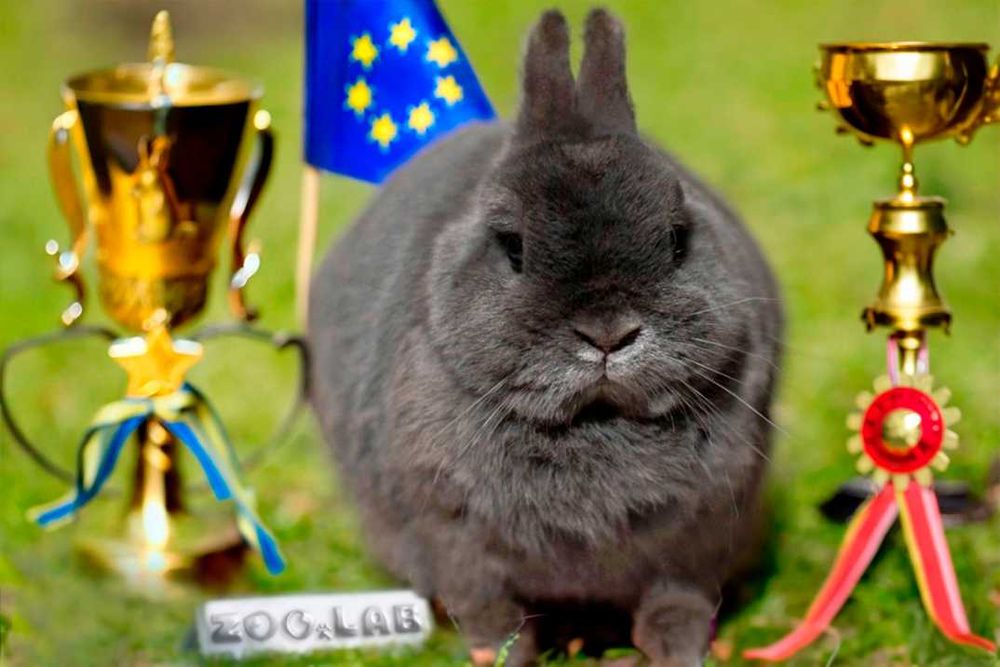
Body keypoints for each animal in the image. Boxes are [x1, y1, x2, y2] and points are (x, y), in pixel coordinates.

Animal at [308, 8, 783, 667]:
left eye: (677, 239)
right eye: (512, 247)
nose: (608, 333)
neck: (597, 423)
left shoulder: (695, 545)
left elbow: (675, 609)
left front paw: (681, 655)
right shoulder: (459, 546)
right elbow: (497, 622)